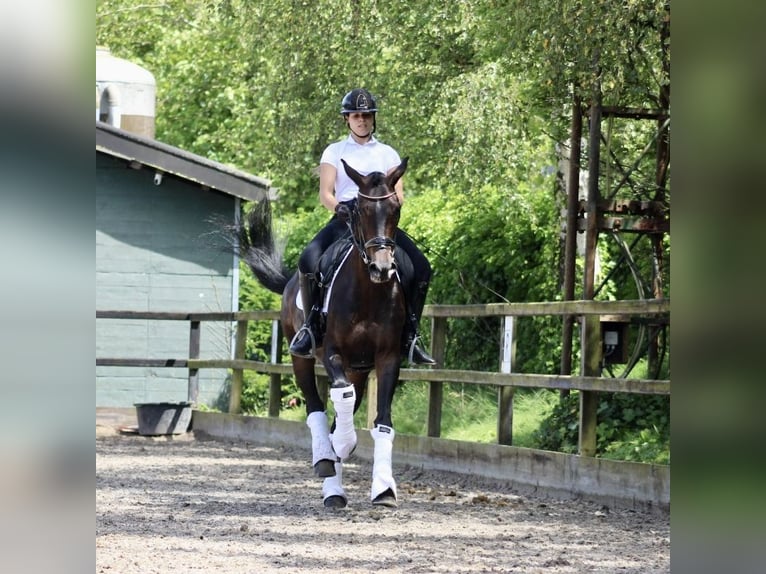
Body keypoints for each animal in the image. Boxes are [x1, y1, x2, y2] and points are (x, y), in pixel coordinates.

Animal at [238, 158, 412, 508]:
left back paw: (335, 481)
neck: (368, 292)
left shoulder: (388, 358)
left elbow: (383, 422)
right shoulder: (333, 353)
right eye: (360, 209)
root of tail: (290, 282)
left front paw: (384, 489)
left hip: (359, 370)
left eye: (396, 207)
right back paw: (326, 465)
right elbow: (340, 396)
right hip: (302, 358)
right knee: (315, 407)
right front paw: (341, 447)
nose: (382, 268)